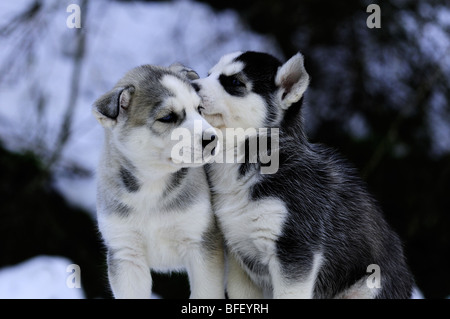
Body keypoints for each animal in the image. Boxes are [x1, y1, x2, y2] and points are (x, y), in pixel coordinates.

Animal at [92, 63, 225, 298]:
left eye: (199, 109)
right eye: (168, 117)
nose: (212, 139)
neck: (152, 182)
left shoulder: (201, 244)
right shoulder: (126, 253)